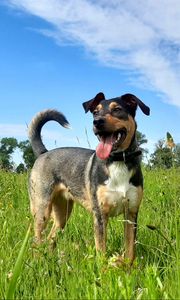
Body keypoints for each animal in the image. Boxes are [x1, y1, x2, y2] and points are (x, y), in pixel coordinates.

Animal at [28, 92, 150, 264]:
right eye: (95, 112)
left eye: (117, 109)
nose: (97, 122)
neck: (117, 160)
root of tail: (43, 152)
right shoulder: (100, 215)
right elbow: (102, 252)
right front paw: (104, 270)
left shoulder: (131, 214)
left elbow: (130, 252)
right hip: (42, 210)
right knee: (37, 241)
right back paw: (37, 262)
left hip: (62, 214)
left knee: (51, 238)